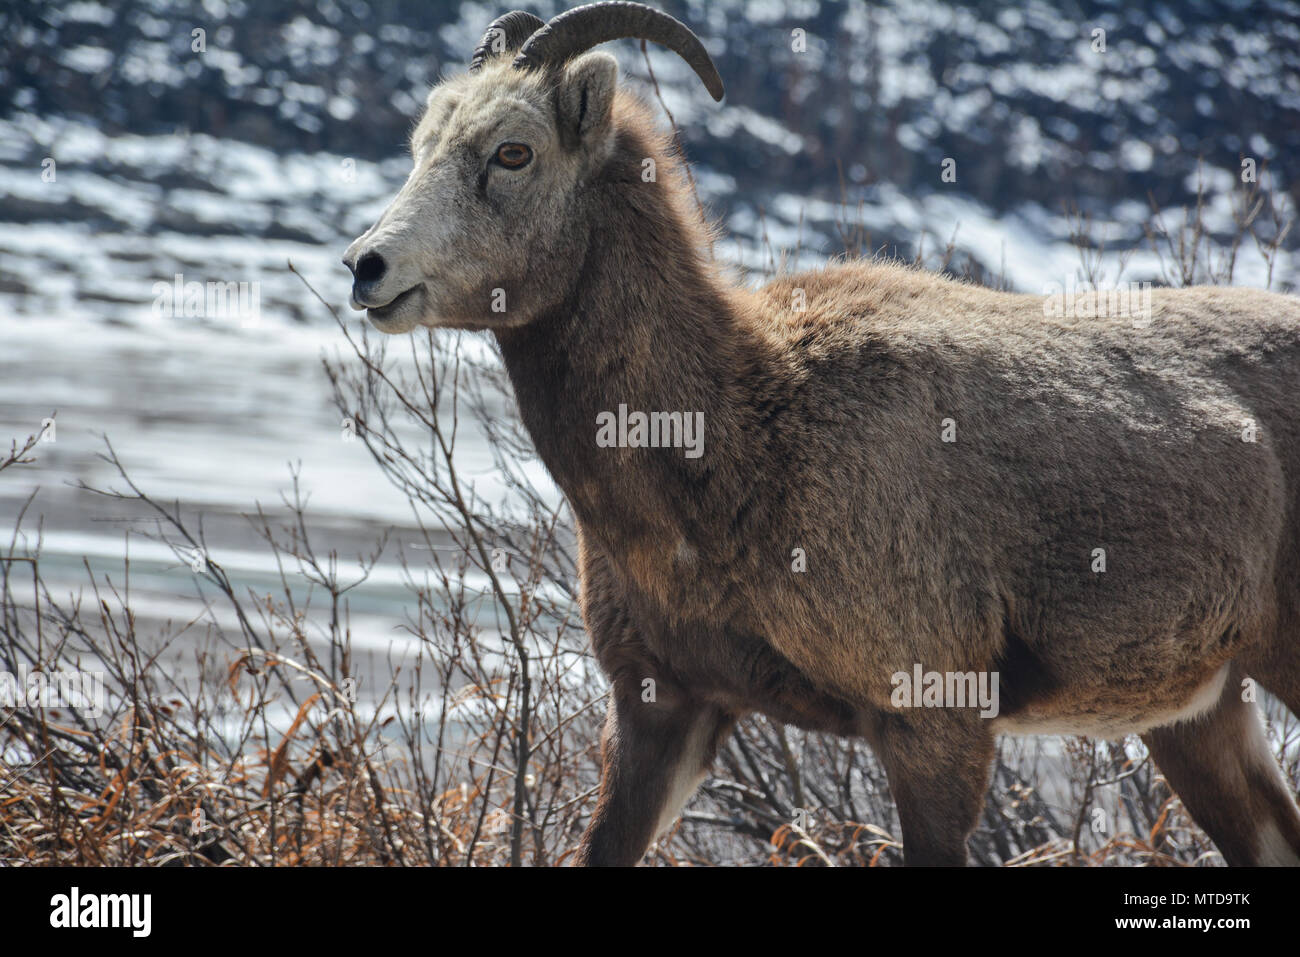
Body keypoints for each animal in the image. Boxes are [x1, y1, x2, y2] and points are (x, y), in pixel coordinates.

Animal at [345, 1, 1300, 868]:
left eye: (513, 151)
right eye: (422, 143)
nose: (367, 267)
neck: (737, 436)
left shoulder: (932, 723)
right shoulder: (664, 707)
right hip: (1200, 718)